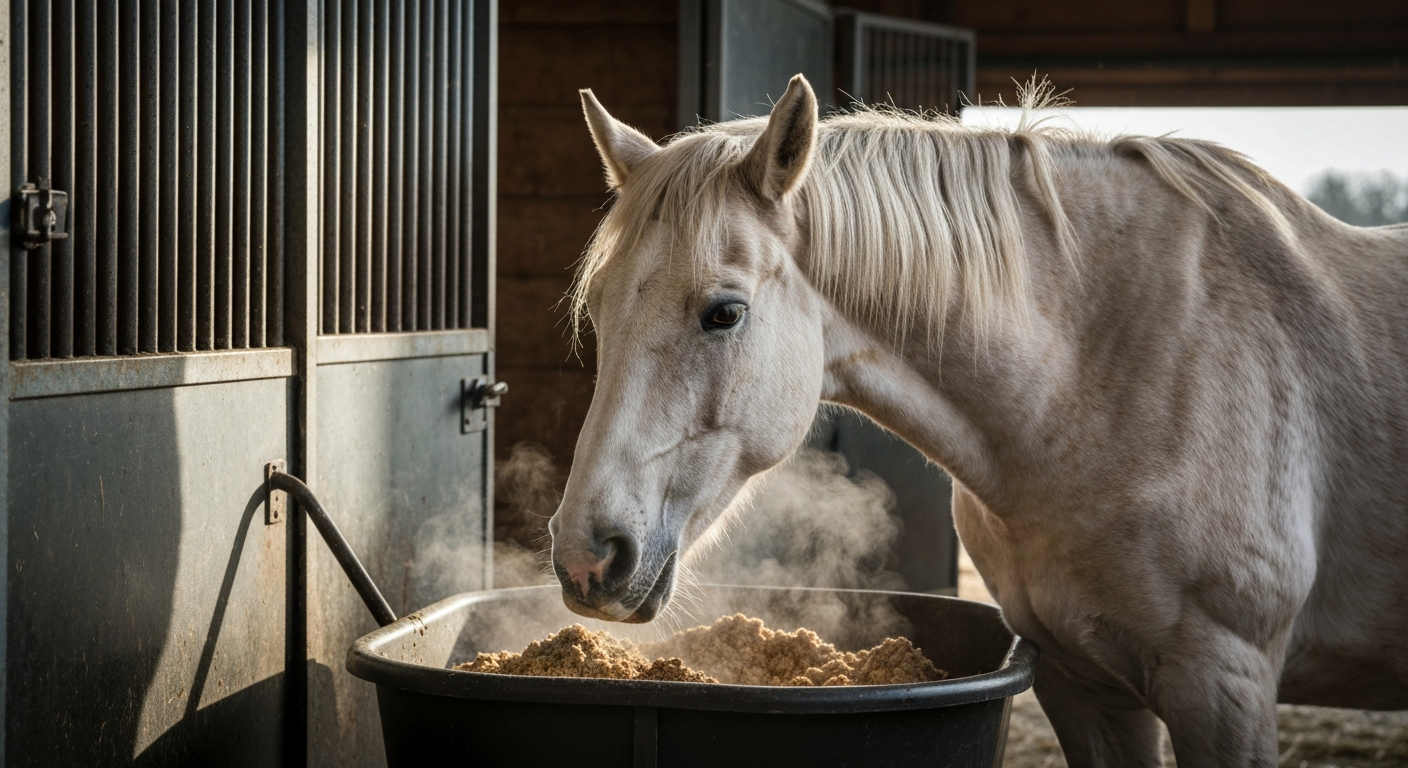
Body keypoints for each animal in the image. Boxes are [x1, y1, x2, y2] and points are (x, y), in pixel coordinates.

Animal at [546, 74, 1408, 766]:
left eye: (723, 312)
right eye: (598, 309)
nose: (587, 558)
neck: (1105, 374)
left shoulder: (1224, 681)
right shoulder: (1082, 681)